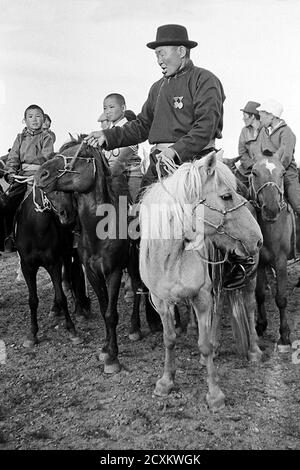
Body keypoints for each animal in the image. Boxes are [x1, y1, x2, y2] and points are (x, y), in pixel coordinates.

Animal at [139, 151, 262, 412]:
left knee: (249, 306)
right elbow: (169, 339)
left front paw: (215, 394)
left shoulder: (201, 297)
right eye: (226, 196)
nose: (257, 239)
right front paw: (166, 382)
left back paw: (255, 350)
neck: (172, 258)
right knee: (220, 307)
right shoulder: (161, 300)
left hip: (251, 277)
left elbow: (203, 344)